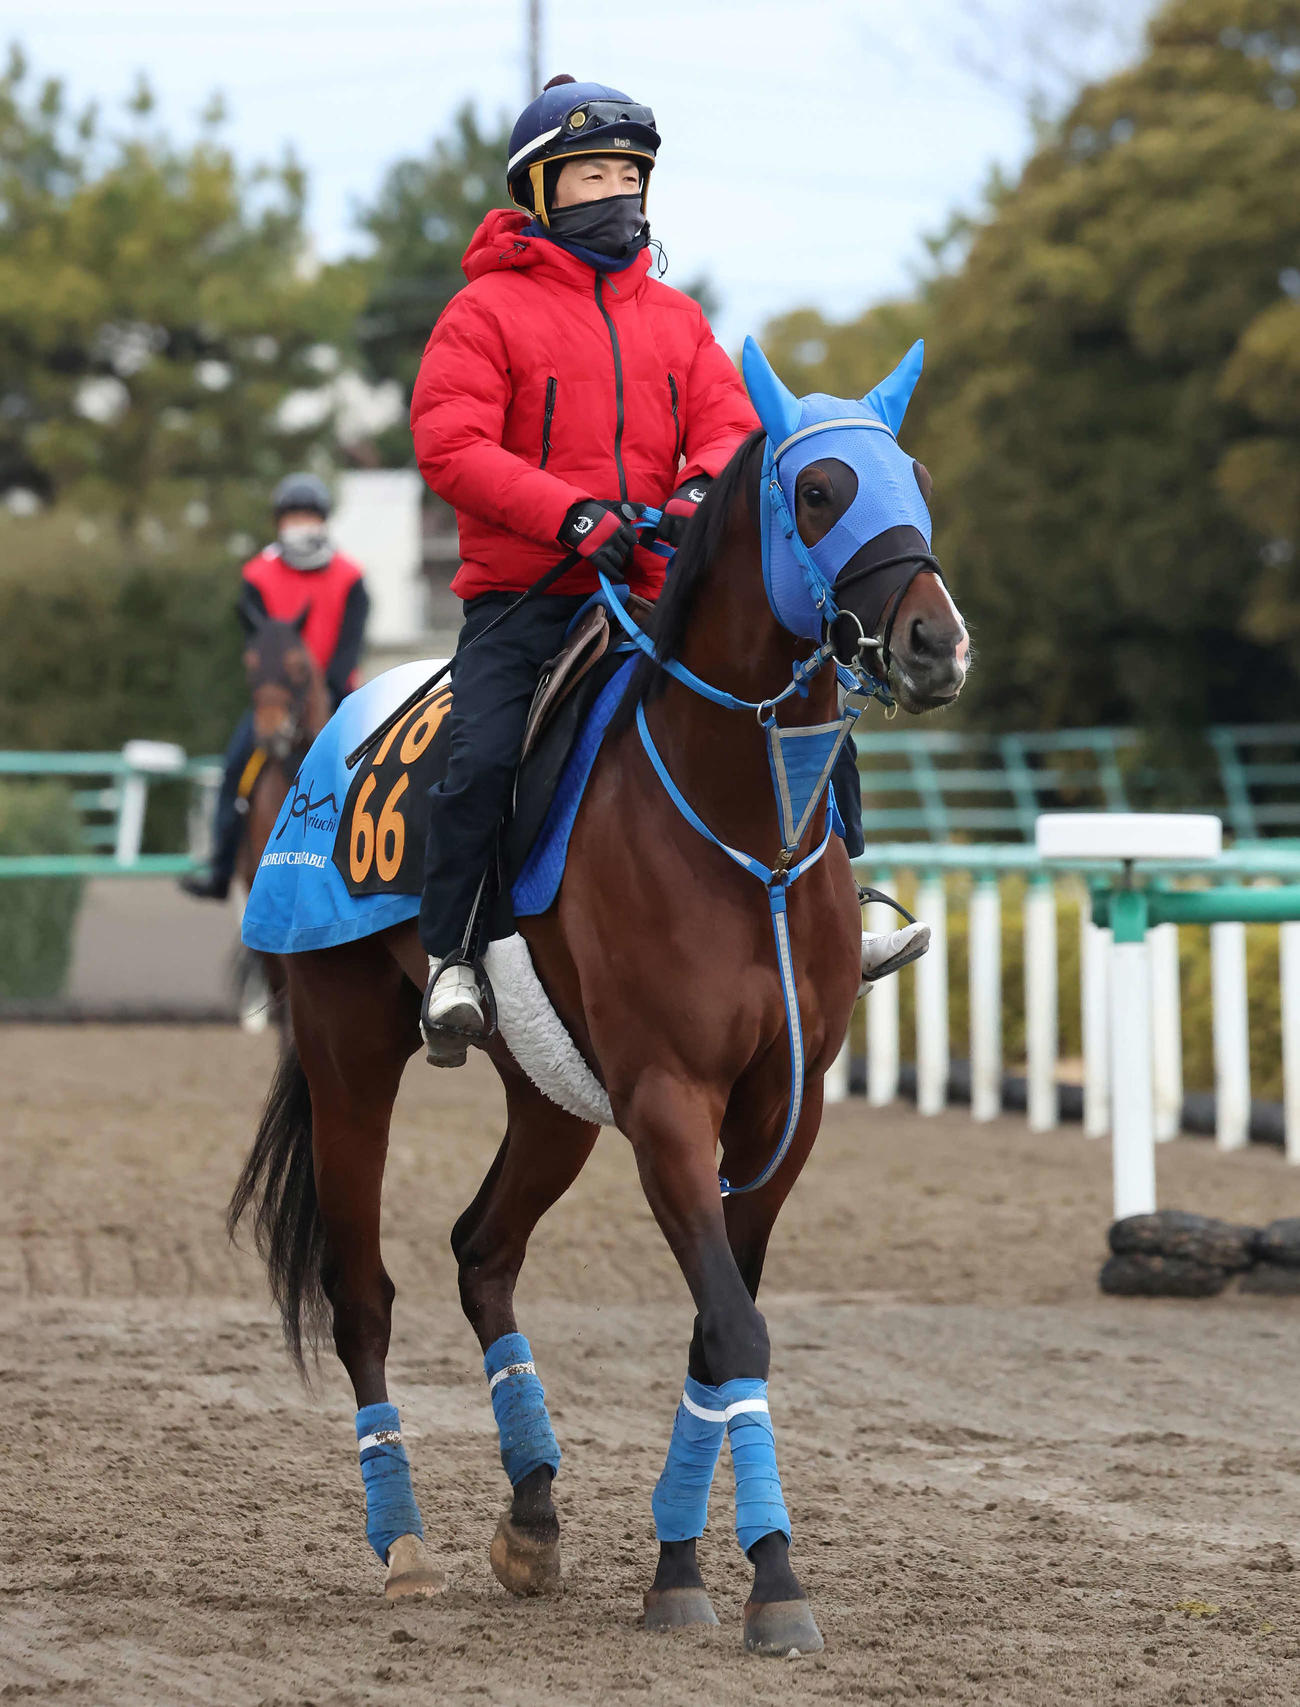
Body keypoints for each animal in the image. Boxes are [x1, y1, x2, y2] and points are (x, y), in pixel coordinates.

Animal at [228, 340, 971, 1652]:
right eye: (817, 490)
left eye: (916, 479)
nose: (936, 642)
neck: (743, 829)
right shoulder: (668, 1098)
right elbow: (732, 1324)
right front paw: (764, 1577)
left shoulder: (781, 1109)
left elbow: (719, 1328)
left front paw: (687, 1564)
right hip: (347, 1053)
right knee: (362, 1294)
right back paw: (403, 1543)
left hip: (553, 1099)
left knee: (481, 1250)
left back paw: (531, 1511)